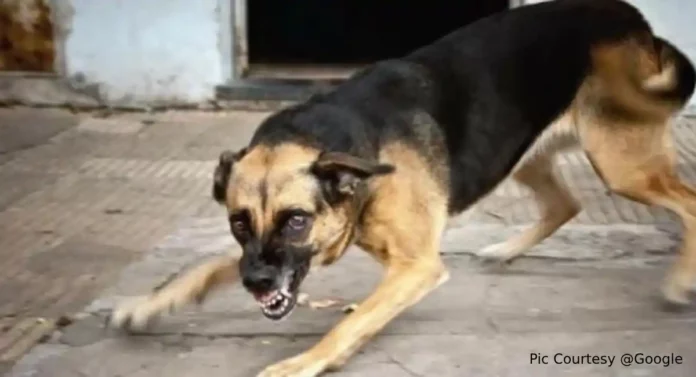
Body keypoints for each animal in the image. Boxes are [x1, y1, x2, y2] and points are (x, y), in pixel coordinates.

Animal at [106, 0, 692, 374]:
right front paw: (147, 304)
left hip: (622, 164)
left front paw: (305, 361)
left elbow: (352, 323)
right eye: (237, 222)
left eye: (296, 220)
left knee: (686, 204)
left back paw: (679, 282)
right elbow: (202, 268)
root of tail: (631, 14)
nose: (254, 284)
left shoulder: (415, 267)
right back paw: (505, 250)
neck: (356, 160)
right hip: (520, 152)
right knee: (565, 203)